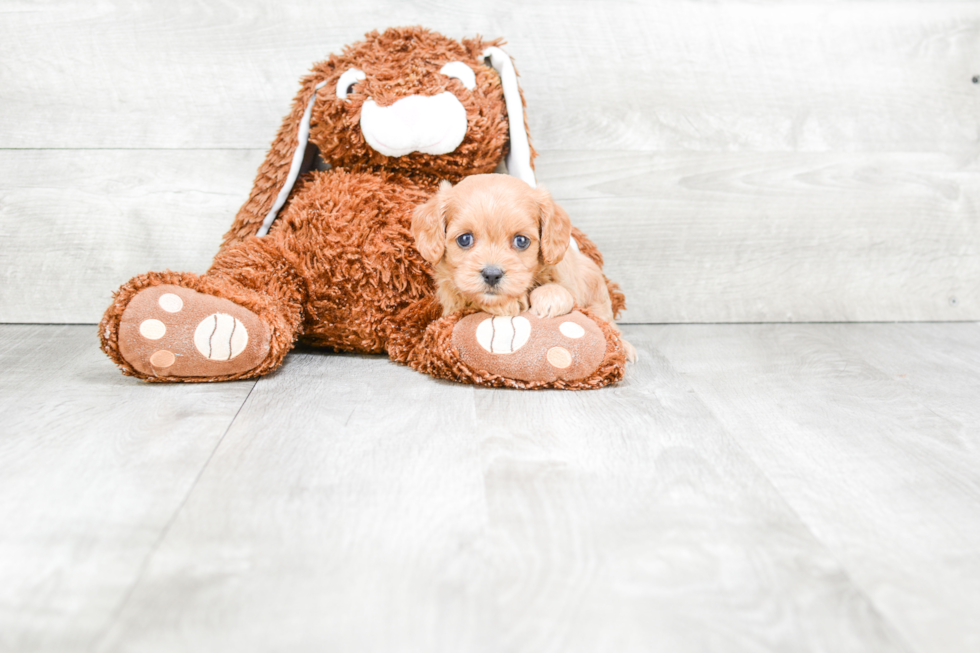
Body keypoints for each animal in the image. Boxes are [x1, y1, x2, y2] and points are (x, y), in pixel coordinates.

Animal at [412, 173, 636, 362]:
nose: (491, 275)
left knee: (608, 323)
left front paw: (549, 297)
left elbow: (561, 290)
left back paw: (625, 348)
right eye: (465, 239)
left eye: (521, 241)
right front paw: (510, 304)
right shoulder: (452, 302)